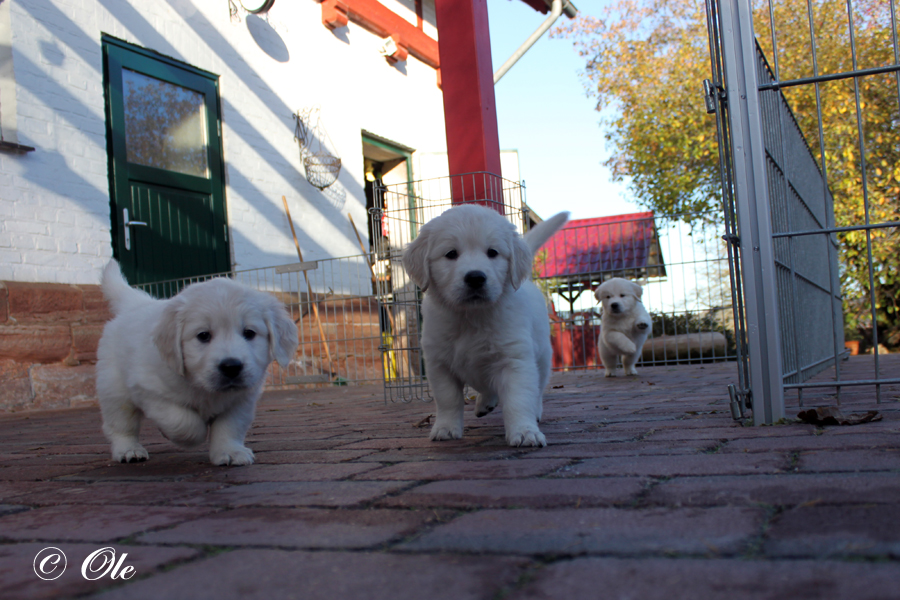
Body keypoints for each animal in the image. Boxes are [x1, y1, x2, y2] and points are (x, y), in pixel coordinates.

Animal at [95, 261, 298, 465]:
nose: (231, 367)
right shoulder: (150, 389)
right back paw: (129, 450)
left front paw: (230, 451)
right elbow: (183, 421)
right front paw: (192, 434)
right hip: (114, 390)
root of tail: (136, 304)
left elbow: (229, 426)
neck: (204, 388)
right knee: (120, 425)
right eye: (203, 335)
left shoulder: (241, 400)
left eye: (249, 333)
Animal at [402, 204, 569, 447]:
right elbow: (448, 399)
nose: (475, 277)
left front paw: (525, 431)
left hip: (543, 356)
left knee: (537, 388)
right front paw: (446, 428)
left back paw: (534, 412)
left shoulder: (515, 361)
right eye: (451, 254)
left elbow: (519, 400)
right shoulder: (439, 363)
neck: (471, 318)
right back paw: (484, 404)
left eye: (492, 252)